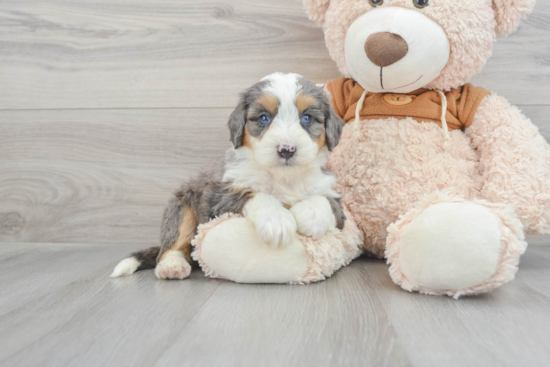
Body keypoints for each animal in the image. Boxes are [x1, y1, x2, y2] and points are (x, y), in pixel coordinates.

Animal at [110, 74, 348, 282]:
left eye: (306, 118)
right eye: (264, 118)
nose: (286, 150)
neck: (283, 177)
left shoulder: (331, 193)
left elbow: (326, 201)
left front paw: (311, 215)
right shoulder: (217, 197)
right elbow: (255, 194)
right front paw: (277, 220)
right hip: (182, 206)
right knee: (172, 244)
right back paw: (172, 265)